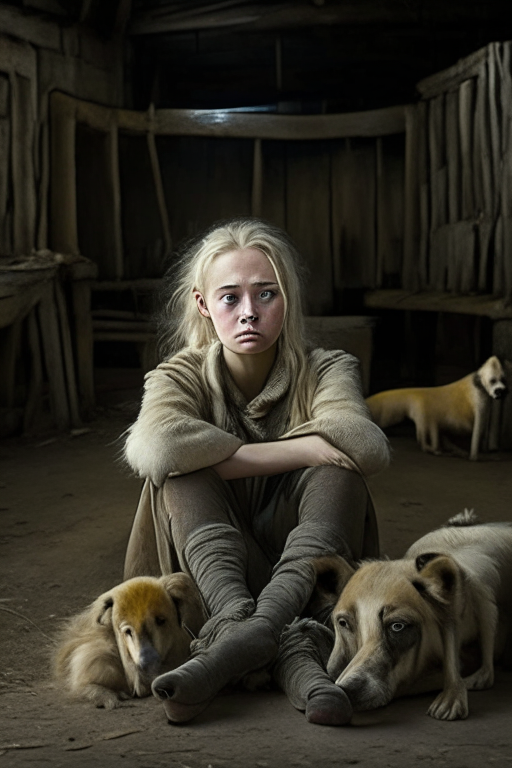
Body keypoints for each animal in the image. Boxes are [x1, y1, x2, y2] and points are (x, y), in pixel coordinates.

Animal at [366, 356, 506, 460]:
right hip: (420, 409)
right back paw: (436, 449)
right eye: (493, 380)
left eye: (502, 379)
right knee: (427, 431)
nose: (499, 391)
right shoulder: (478, 396)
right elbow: (478, 427)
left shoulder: (485, 398)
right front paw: (476, 456)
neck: (479, 382)